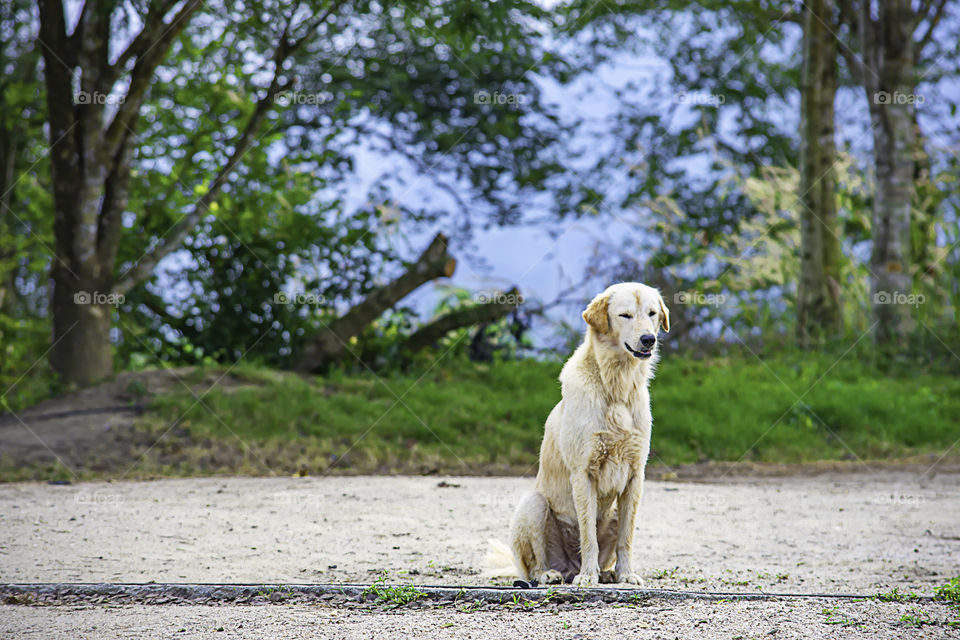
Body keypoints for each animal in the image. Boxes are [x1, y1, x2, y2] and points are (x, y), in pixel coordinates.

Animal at [488, 282, 668, 584]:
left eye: (652, 313)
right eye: (625, 315)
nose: (648, 340)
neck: (617, 388)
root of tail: (568, 566)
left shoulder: (635, 476)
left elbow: (626, 537)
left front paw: (626, 574)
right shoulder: (583, 472)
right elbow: (588, 534)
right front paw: (587, 576)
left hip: (614, 509)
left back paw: (606, 574)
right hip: (534, 504)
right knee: (534, 565)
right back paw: (552, 574)